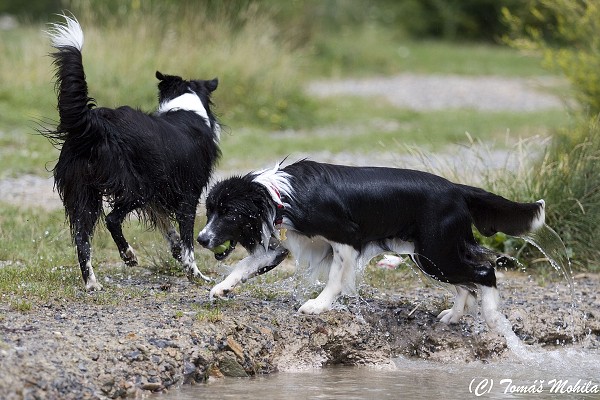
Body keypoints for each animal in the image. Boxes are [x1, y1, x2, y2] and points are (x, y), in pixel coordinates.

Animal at [42, 15, 220, 290]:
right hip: (135, 186)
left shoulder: (158, 197)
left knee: (82, 239)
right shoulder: (188, 196)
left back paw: (92, 283)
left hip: (84, 192)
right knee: (112, 219)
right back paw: (128, 255)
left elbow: (171, 233)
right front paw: (196, 274)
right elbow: (188, 242)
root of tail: (97, 123)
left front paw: (178, 255)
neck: (186, 105)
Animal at [199, 159, 548, 328]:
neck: (280, 194)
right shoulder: (281, 242)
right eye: (210, 210)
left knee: (484, 272)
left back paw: (491, 317)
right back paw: (454, 316)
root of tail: (457, 188)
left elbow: (335, 278)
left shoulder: (346, 236)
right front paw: (222, 288)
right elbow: (246, 264)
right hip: (430, 256)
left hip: (436, 250)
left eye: (229, 213)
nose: (202, 239)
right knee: (465, 283)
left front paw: (318, 305)